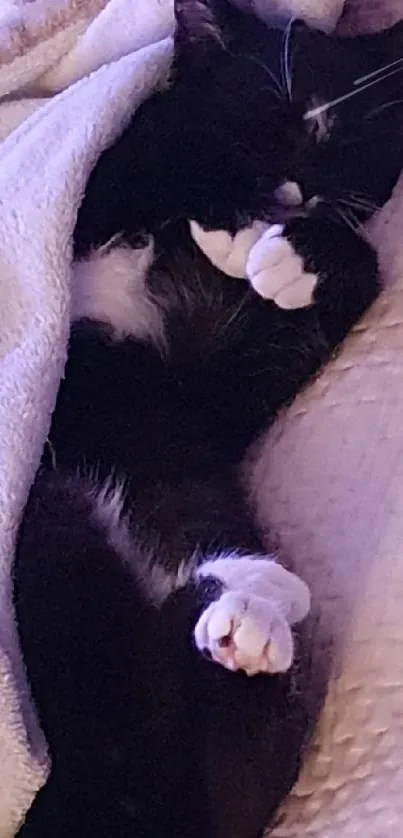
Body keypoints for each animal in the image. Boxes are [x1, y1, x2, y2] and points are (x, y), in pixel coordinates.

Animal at [14, 1, 403, 838]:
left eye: (350, 145)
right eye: (263, 111)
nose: (294, 192)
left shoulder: (218, 391)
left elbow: (361, 268)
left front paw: (291, 255)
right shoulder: (112, 188)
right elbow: (156, 152)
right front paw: (231, 223)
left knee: (219, 760)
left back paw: (247, 612)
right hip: (52, 552)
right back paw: (245, 595)